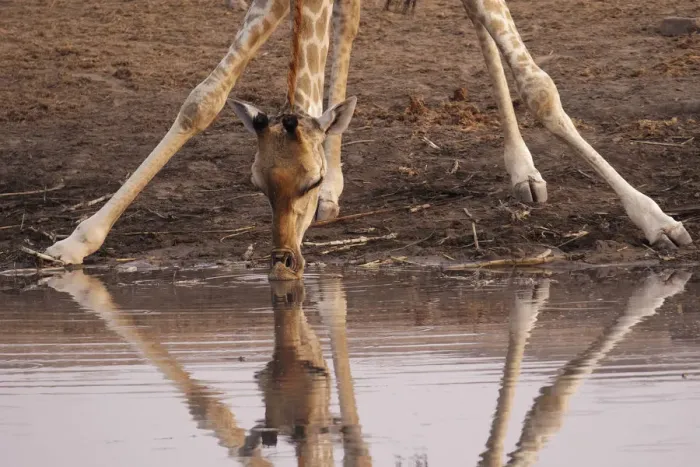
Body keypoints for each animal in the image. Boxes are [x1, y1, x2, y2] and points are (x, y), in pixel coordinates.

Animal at [43, 0, 692, 280]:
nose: (284, 259)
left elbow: (542, 90)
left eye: (305, 182)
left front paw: (657, 220)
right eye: (256, 185)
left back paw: (524, 171)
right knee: (353, 21)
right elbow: (202, 98)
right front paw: (77, 242)